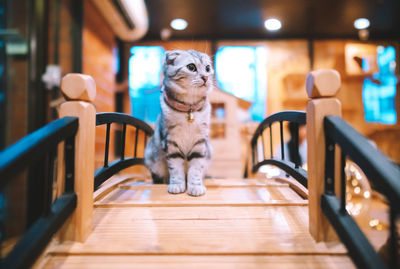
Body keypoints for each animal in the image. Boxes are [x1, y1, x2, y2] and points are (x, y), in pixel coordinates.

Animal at [143, 48, 212, 195]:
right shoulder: (171, 142)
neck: (189, 110)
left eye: (208, 68)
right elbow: (175, 169)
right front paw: (177, 185)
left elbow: (196, 169)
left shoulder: (199, 143)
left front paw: (195, 186)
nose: (206, 77)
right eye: (191, 67)